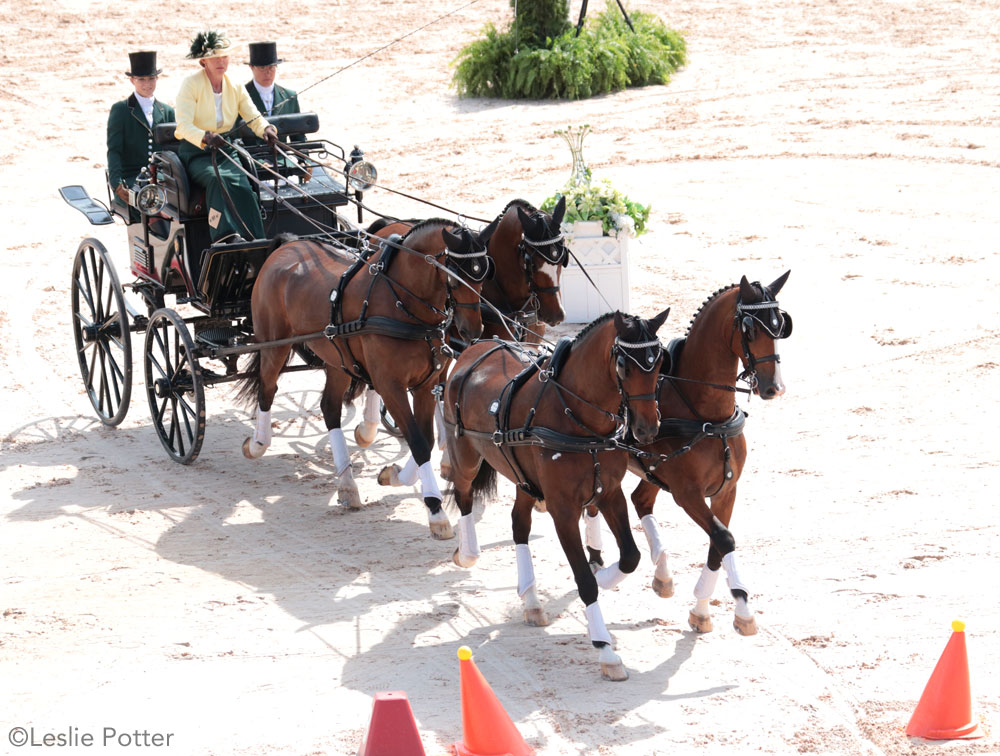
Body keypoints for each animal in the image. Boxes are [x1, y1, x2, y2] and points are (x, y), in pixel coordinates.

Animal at [239, 219, 496, 536]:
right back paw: (257, 444)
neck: (402, 302)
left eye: (483, 274)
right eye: (456, 277)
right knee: (267, 388)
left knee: (329, 408)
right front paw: (436, 512)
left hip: (337, 359)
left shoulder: (426, 384)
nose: (473, 330)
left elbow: (424, 440)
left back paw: (348, 486)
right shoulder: (391, 385)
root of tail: (289, 244)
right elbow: (418, 442)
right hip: (274, 344)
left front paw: (393, 475)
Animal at [442, 308, 668, 680]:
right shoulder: (564, 510)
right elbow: (586, 582)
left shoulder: (610, 494)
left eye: (659, 360)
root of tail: (476, 347)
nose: (647, 429)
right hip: (465, 453)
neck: (579, 419)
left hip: (523, 479)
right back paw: (467, 553)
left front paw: (605, 575)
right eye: (623, 365)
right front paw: (606, 651)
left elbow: (630, 557)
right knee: (463, 495)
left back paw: (532, 601)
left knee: (519, 524)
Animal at [584, 272, 788, 636]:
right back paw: (598, 556)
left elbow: (718, 545)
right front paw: (738, 607)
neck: (707, 416)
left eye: (780, 326)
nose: (773, 388)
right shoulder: (687, 494)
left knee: (640, 500)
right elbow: (724, 538)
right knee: (598, 504)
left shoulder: (726, 490)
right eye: (749, 330)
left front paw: (706, 609)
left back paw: (661, 571)